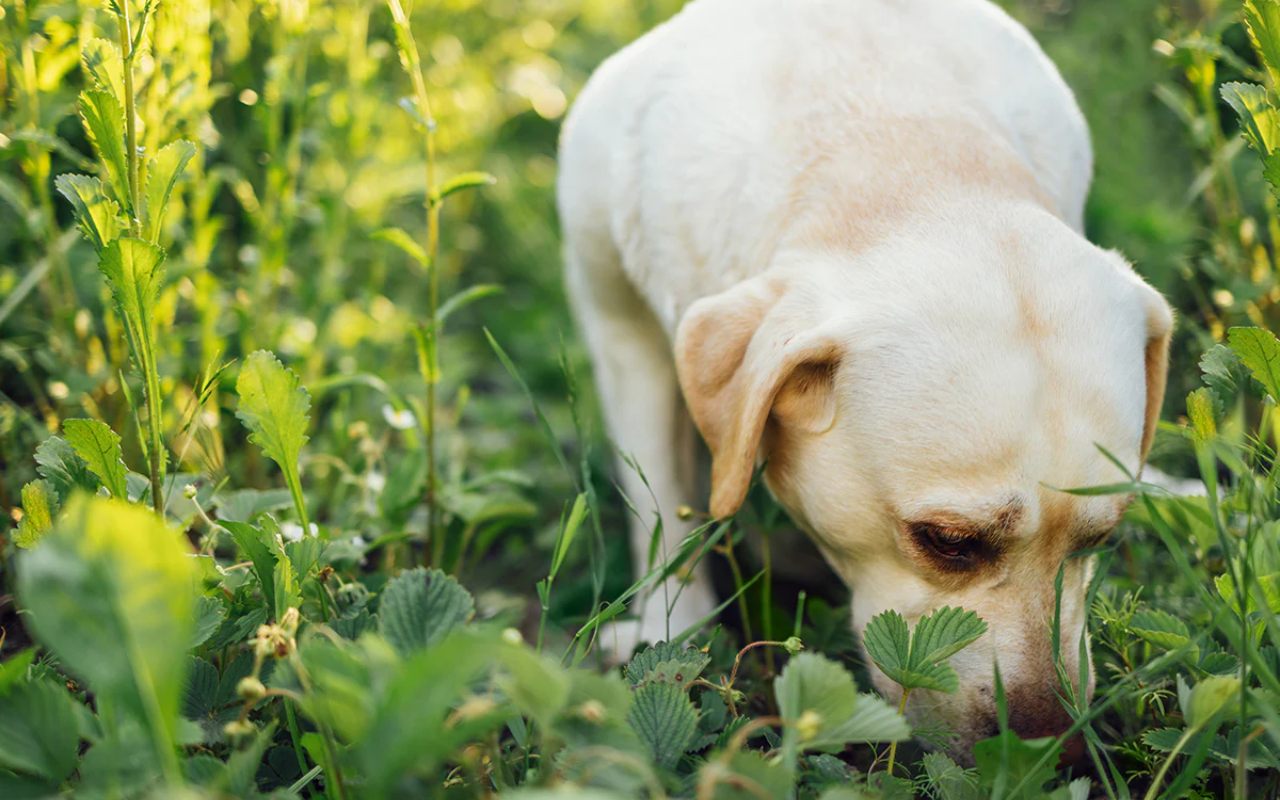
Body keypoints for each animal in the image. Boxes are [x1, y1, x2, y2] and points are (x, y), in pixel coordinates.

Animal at [558, 0, 1172, 757]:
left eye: (1100, 540)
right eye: (948, 542)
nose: (1048, 751)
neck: (906, 152)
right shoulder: (616, 317)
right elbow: (661, 502)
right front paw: (669, 630)